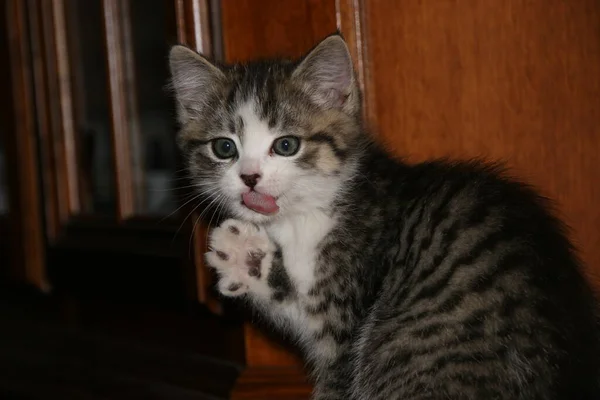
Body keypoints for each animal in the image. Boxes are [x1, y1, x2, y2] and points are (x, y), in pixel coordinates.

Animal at [169, 34, 600, 400]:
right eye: (224, 148)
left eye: (287, 145)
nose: (250, 177)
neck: (308, 213)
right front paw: (249, 258)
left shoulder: (344, 321)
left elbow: (334, 379)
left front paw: (245, 251)